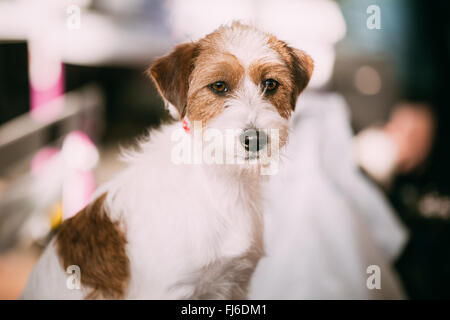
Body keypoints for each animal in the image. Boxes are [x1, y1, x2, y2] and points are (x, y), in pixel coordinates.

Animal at [20, 22, 310, 300]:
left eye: (270, 84)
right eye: (219, 86)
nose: (255, 138)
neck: (221, 179)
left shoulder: (235, 283)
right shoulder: (171, 289)